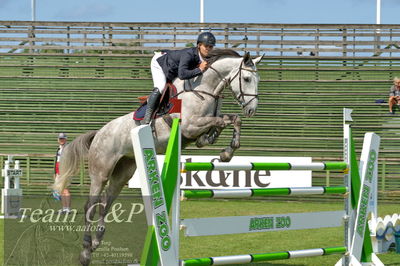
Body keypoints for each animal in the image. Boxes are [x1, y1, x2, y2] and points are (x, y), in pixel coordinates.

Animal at [52, 48, 262, 264]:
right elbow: (221, 121)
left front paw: (225, 150)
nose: (251, 110)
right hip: (101, 171)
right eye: (246, 78)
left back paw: (96, 241)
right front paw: (222, 147)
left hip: (123, 172)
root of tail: (99, 133)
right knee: (90, 206)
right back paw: (85, 251)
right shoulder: (190, 126)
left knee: (106, 203)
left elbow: (230, 120)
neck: (204, 89)